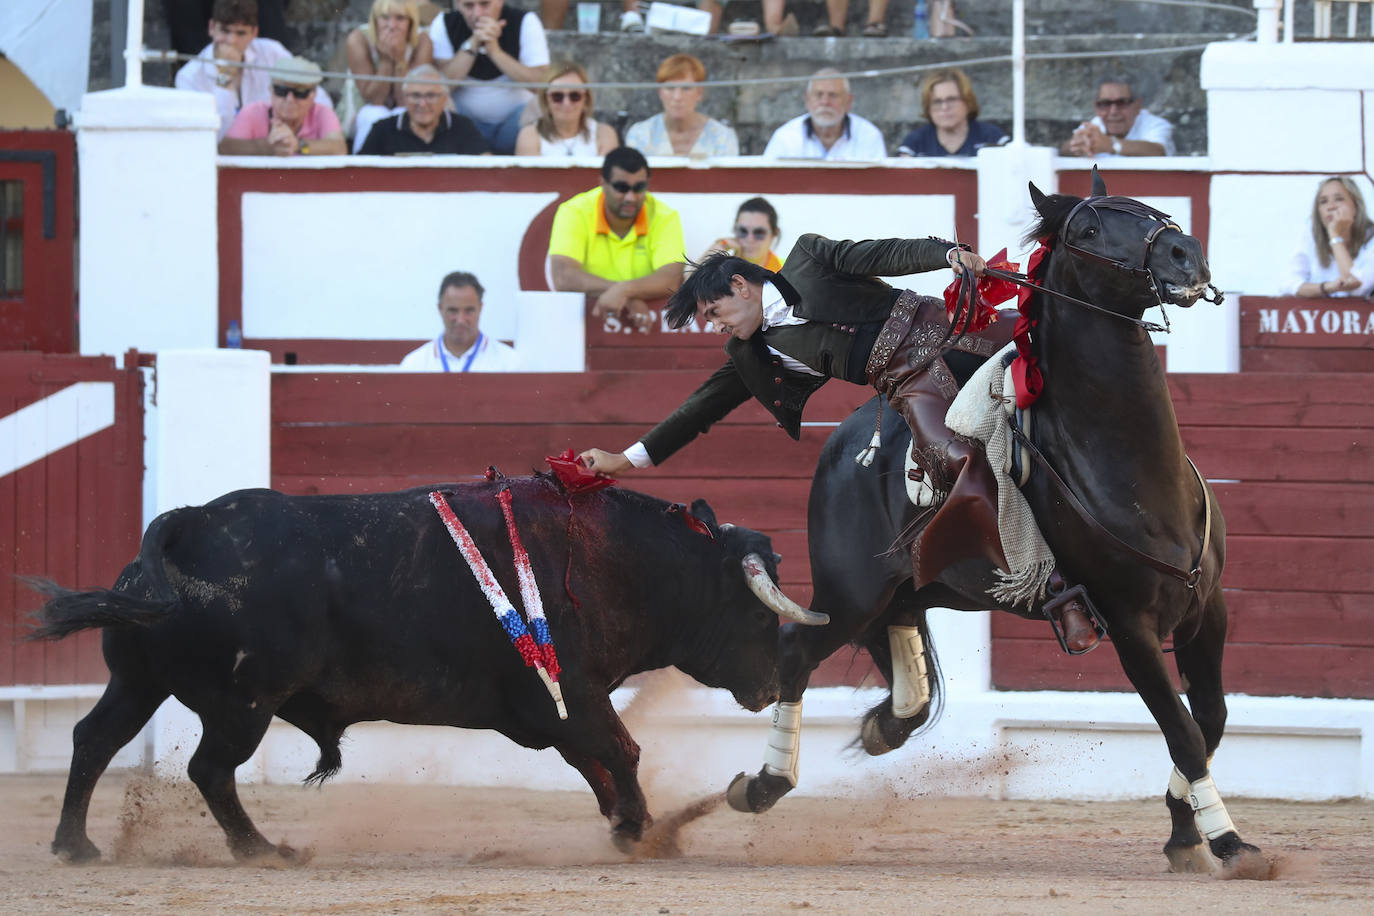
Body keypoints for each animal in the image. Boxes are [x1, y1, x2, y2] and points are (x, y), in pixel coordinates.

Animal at [32, 477, 818, 862]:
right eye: (757, 614)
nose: (770, 688)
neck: (615, 560)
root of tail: (188, 522)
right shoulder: (572, 694)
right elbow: (621, 750)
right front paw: (644, 828)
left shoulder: (556, 708)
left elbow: (596, 761)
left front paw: (627, 825)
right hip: (244, 704)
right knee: (209, 769)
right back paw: (262, 850)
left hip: (139, 682)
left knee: (94, 739)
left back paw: (76, 846)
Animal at [725, 173, 1258, 873]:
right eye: (1089, 229)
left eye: (1152, 208)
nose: (1184, 254)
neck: (1137, 476)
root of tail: (844, 440)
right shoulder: (1130, 627)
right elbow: (1185, 729)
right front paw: (1226, 840)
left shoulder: (1208, 608)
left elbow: (1211, 718)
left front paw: (1183, 830)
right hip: (848, 592)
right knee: (794, 649)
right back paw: (762, 783)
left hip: (909, 587)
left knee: (902, 662)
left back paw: (881, 726)